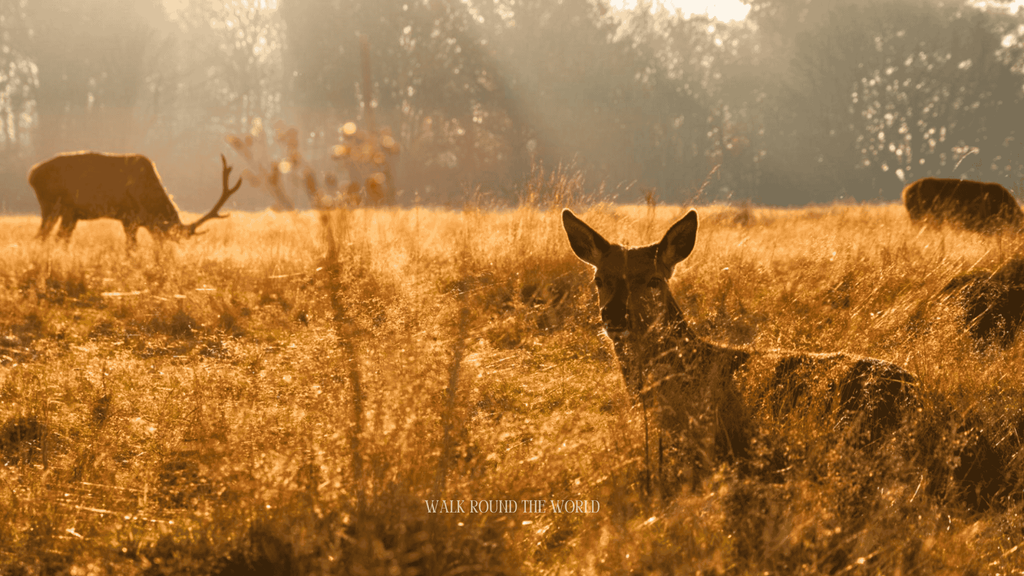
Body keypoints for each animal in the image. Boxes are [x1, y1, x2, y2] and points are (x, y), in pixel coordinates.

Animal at [29, 152, 243, 245]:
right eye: (166, 237)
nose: (166, 258)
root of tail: (31, 175)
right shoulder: (128, 217)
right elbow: (131, 248)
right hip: (51, 205)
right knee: (42, 237)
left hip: (70, 213)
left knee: (56, 238)